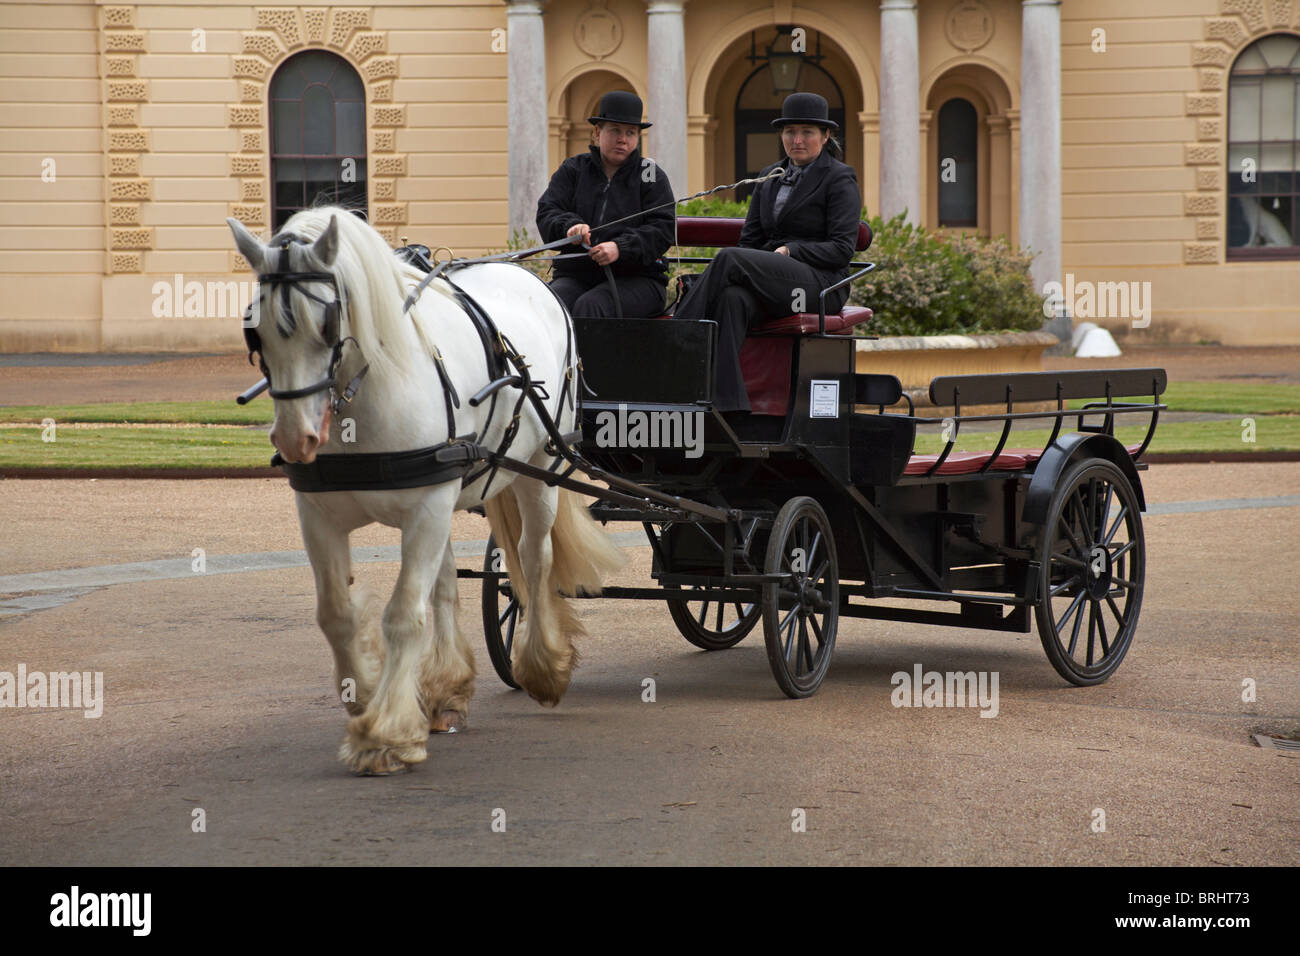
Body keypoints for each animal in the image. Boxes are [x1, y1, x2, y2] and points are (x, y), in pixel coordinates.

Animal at [228, 205, 624, 775]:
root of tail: (531, 277)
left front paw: (386, 733)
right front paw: (370, 694)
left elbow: (403, 616)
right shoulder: (323, 513)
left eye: (326, 323)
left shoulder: (426, 509)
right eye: (254, 330)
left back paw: (542, 665)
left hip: (538, 470)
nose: (294, 438)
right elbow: (337, 613)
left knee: (534, 559)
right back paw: (449, 689)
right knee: (447, 584)